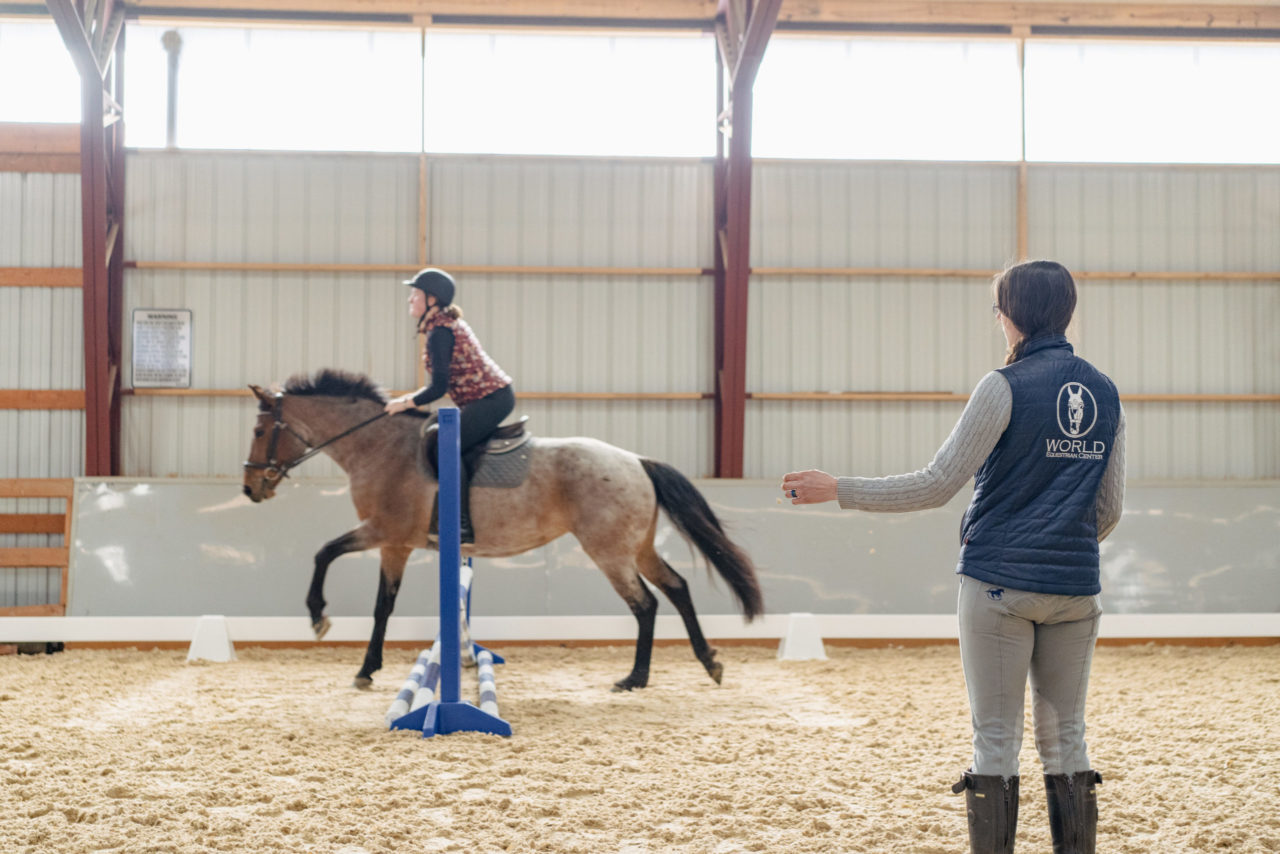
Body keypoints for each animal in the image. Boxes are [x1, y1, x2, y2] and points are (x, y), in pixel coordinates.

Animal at [240, 371, 762, 691]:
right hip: (638, 548)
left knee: (646, 604)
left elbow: (324, 554)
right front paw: (367, 669)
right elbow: (382, 606)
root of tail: (636, 460)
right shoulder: (395, 545)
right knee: (677, 588)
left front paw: (318, 617)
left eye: (260, 431)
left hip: (609, 551)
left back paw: (635, 678)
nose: (250, 488)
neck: (377, 446)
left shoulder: (382, 531)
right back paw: (709, 661)